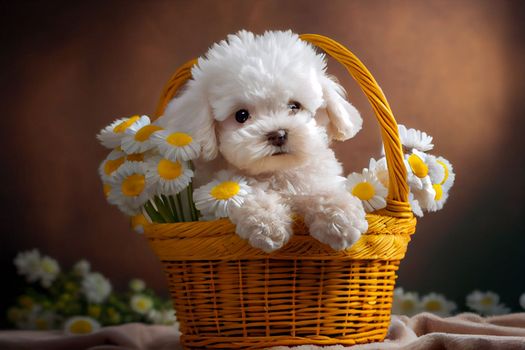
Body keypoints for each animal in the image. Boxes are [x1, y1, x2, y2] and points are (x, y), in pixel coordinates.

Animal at [161, 30, 368, 252]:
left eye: (295, 106)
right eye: (241, 115)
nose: (278, 134)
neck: (277, 171)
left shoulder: (315, 177)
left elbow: (323, 190)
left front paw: (341, 219)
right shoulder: (217, 183)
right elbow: (248, 192)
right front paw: (267, 225)